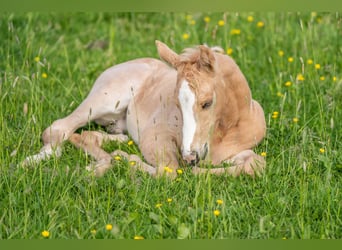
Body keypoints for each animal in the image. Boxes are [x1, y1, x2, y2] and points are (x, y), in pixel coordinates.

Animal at [22, 40, 268, 178]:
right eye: (176, 103)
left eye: (207, 103)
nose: (191, 157)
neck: (226, 131)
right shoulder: (156, 136)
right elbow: (168, 171)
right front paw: (126, 159)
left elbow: (255, 164)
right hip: (104, 100)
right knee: (58, 129)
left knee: (89, 135)